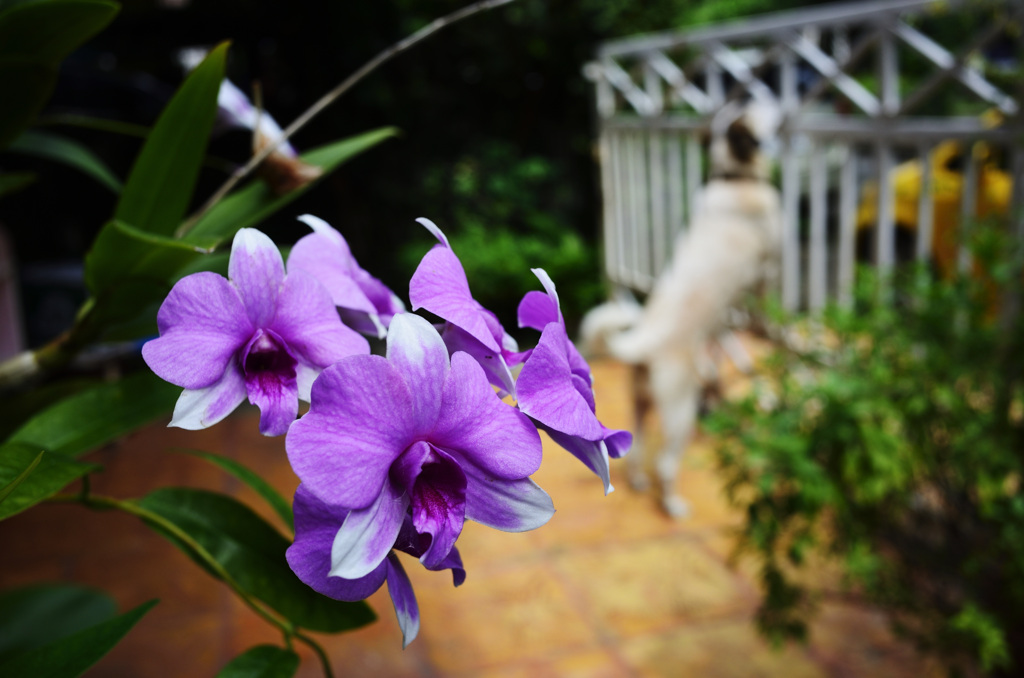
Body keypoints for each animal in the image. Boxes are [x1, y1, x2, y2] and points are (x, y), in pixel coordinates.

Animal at [585, 98, 782, 518]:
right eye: (750, 105)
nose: (759, 94)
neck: (734, 178)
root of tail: (643, 347)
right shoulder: (768, 271)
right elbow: (764, 309)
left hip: (641, 405)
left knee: (638, 451)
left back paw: (639, 482)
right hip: (679, 413)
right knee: (664, 463)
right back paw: (673, 505)